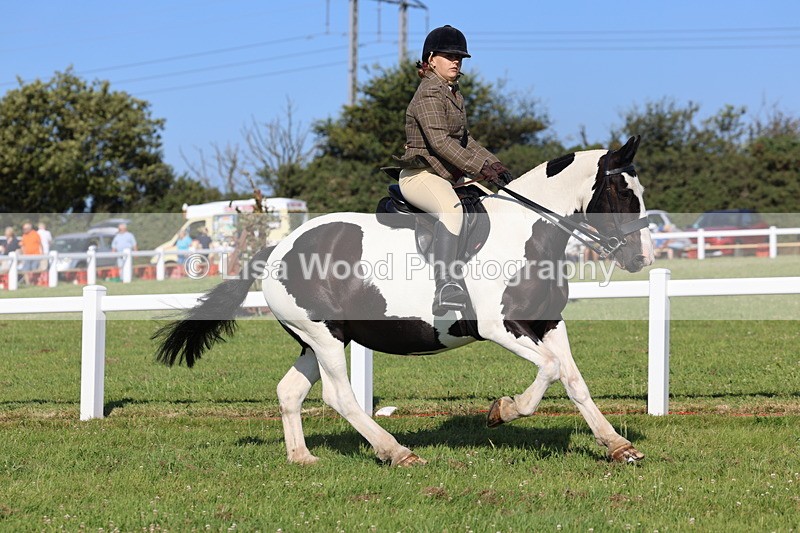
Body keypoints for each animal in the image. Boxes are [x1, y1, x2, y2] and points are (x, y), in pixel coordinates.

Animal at [154, 135, 654, 466]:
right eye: (622, 192)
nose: (641, 259)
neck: (526, 232)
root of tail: (277, 248)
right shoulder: (498, 327)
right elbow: (548, 370)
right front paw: (504, 410)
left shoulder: (548, 322)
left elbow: (572, 378)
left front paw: (617, 445)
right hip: (324, 336)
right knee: (340, 396)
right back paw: (396, 452)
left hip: (318, 340)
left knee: (290, 391)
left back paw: (302, 457)